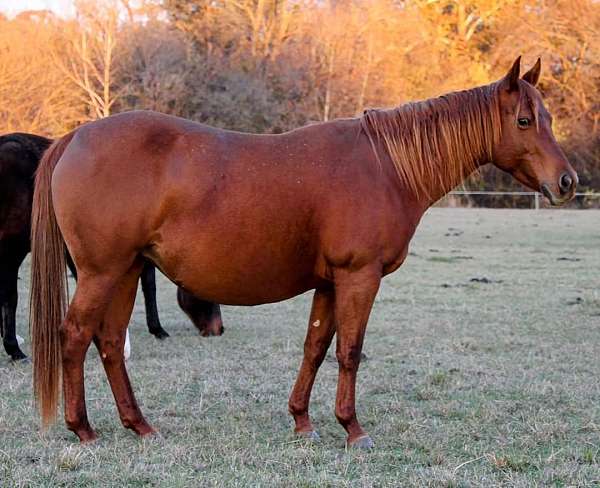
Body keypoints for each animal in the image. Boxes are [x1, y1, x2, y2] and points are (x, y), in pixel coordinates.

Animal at [29, 56, 576, 446]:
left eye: (548, 117)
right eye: (524, 120)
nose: (567, 182)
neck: (385, 166)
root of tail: (74, 136)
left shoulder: (330, 283)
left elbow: (315, 347)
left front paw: (303, 422)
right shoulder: (358, 277)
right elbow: (349, 351)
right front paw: (353, 430)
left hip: (126, 271)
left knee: (108, 342)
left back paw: (139, 426)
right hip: (102, 272)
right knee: (74, 337)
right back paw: (83, 429)